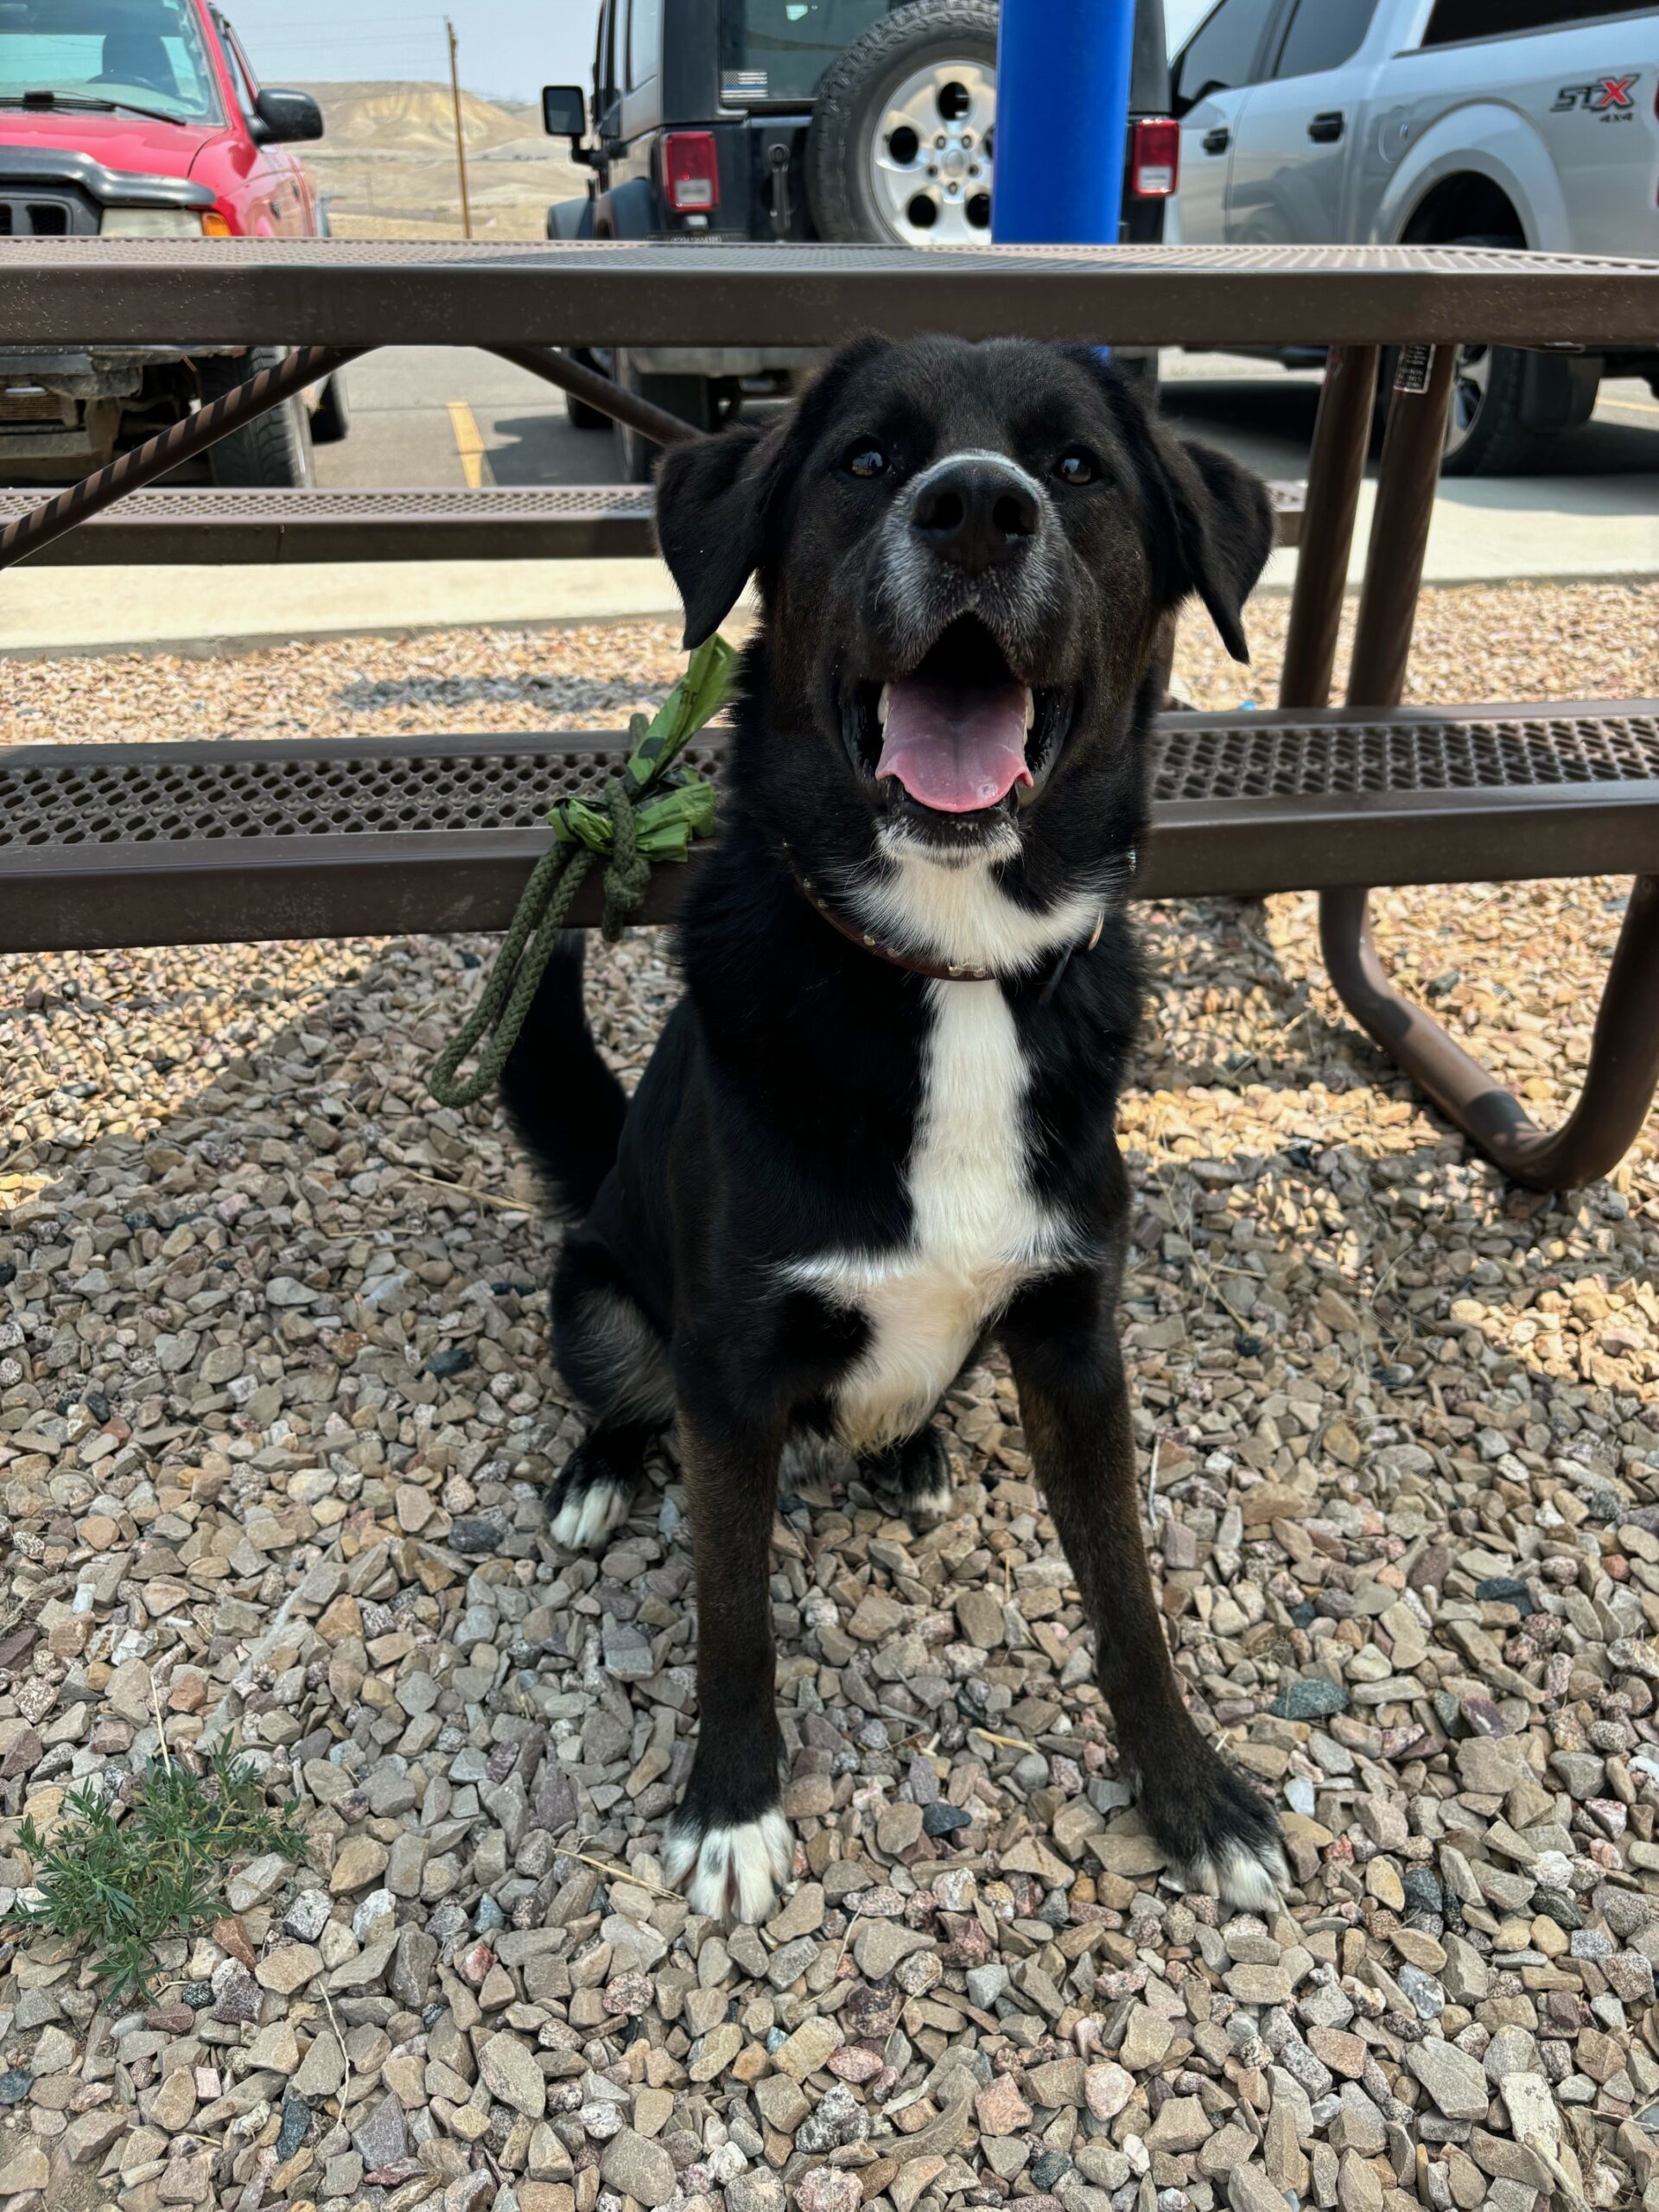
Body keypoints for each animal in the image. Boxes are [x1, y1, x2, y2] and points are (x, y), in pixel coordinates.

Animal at [499, 336, 1292, 1929]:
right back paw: (601, 1473)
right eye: (865, 460)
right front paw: (732, 1808)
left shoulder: (1074, 1337)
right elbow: (732, 1613)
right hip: (598, 1293)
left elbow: (1128, 1592)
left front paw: (1192, 1796)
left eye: (1075, 467)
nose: (977, 509)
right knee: (620, 1389)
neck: (953, 968)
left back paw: (905, 1455)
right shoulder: (733, 1369)